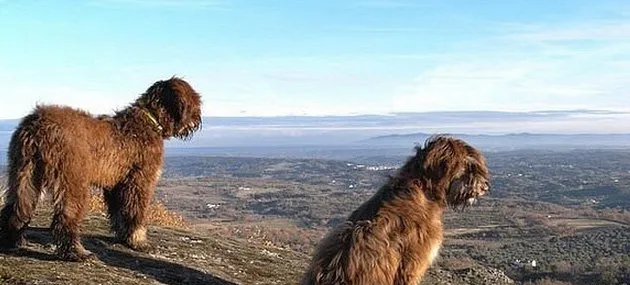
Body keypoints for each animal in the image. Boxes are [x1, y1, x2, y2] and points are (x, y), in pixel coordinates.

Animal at [0, 76, 202, 260]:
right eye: (194, 100)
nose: (199, 119)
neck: (149, 120)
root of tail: (38, 125)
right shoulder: (140, 180)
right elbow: (135, 212)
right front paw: (139, 240)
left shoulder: (116, 183)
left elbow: (119, 213)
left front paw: (125, 237)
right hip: (72, 180)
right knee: (65, 218)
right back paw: (75, 252)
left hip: (24, 171)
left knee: (16, 208)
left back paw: (11, 242)